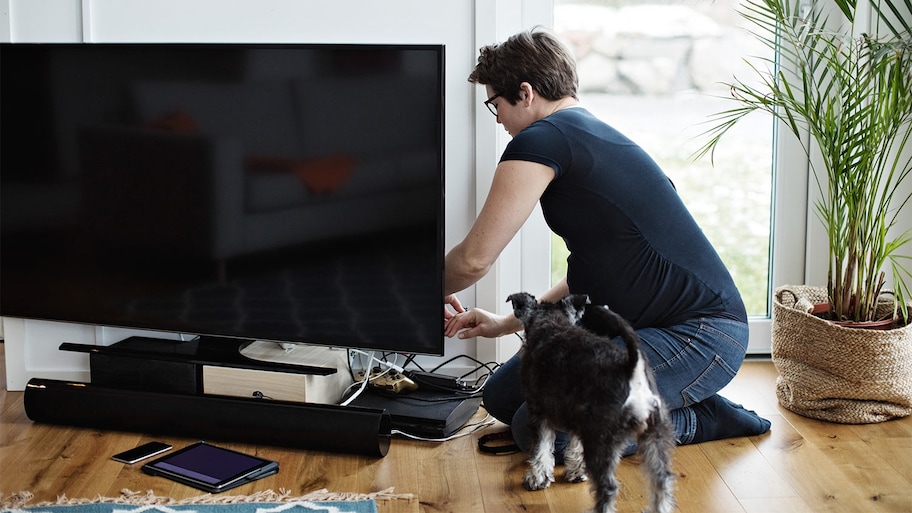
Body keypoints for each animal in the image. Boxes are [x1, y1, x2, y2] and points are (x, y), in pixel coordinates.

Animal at [510, 292, 672, 512]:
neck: (551, 324)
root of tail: (632, 369)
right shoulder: (578, 421)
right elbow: (574, 447)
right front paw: (576, 472)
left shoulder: (538, 413)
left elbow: (540, 449)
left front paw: (537, 478)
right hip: (654, 437)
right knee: (661, 482)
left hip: (600, 441)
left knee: (609, 488)